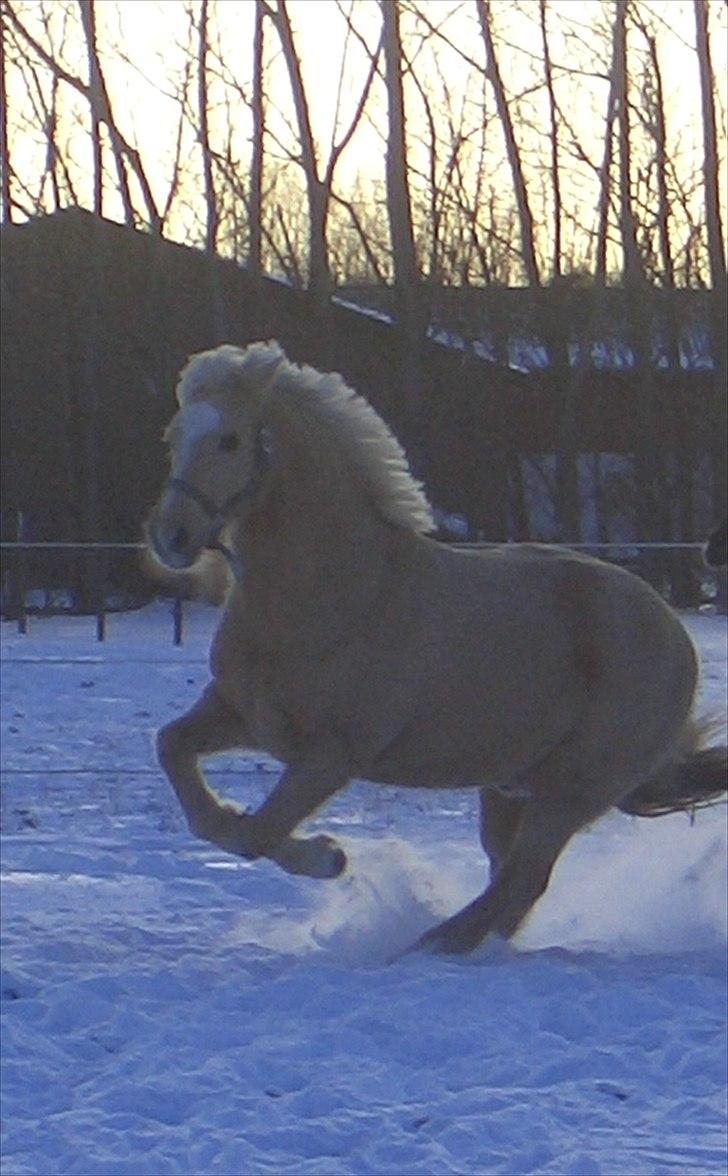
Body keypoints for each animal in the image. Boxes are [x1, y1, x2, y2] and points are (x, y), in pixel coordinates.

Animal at [146, 341, 727, 954]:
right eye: (174, 436)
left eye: (230, 440)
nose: (170, 537)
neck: (339, 590)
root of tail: (675, 635)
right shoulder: (240, 716)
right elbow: (186, 773)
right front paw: (320, 851)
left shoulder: (332, 753)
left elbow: (258, 831)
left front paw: (328, 856)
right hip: (510, 787)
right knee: (509, 881)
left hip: (573, 788)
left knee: (523, 879)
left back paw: (430, 944)